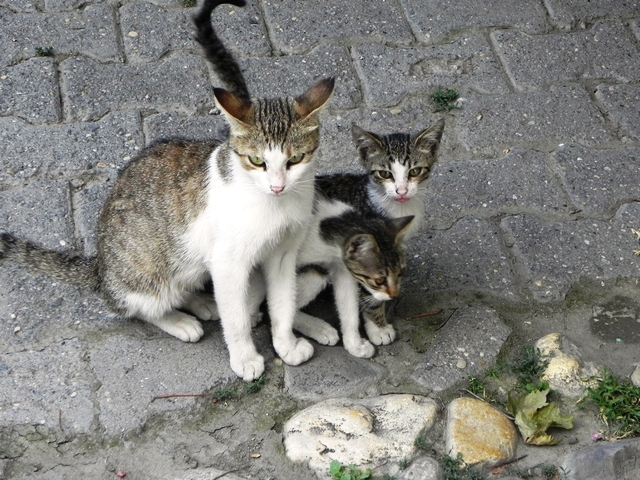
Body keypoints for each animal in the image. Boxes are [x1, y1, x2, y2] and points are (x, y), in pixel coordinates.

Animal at [1, 0, 336, 382]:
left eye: (295, 159)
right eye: (256, 160)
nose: (278, 185)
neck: (274, 206)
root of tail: (100, 267)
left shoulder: (282, 255)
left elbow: (283, 303)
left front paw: (286, 344)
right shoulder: (229, 261)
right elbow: (236, 317)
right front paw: (244, 357)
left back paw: (199, 301)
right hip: (147, 275)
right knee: (137, 305)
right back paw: (178, 320)